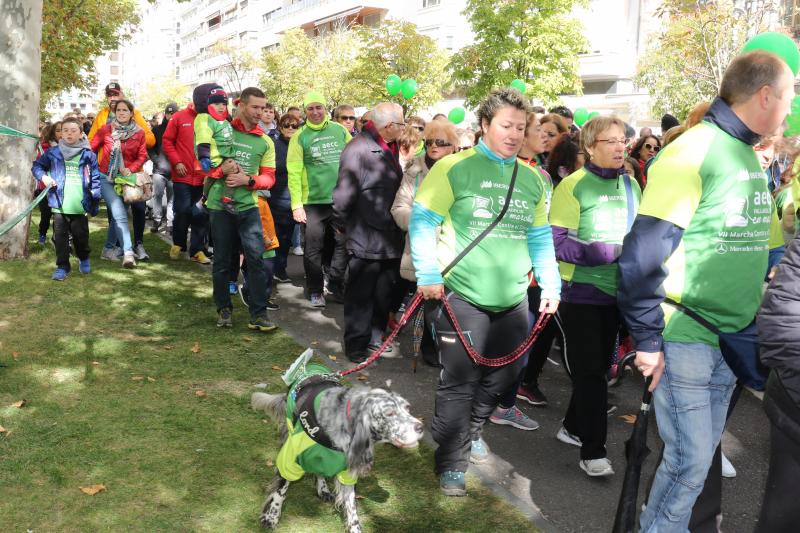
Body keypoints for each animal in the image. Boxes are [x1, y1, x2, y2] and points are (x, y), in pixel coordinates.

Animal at [252, 364, 424, 528]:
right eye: (389, 413)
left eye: (407, 408)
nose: (421, 427)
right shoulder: (289, 459)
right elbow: (280, 490)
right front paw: (271, 516)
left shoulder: (346, 472)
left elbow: (352, 510)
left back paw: (323, 489)